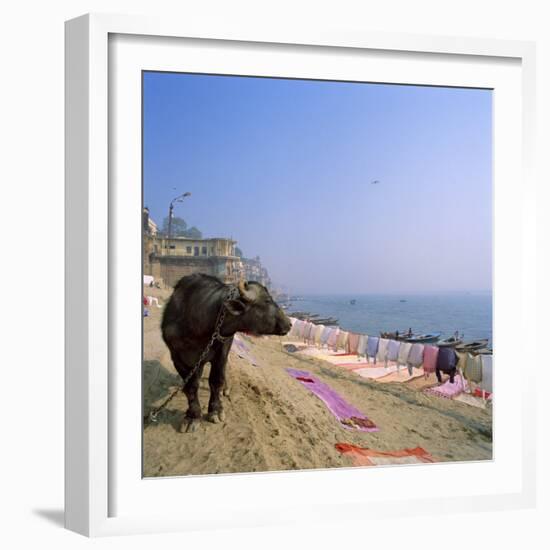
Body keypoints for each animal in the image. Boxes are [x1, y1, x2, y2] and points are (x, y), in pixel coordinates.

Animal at [161, 274, 294, 434]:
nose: (289, 323)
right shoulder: (177, 359)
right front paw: (192, 416)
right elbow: (191, 386)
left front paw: (215, 410)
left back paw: (225, 389)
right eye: (267, 301)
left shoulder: (222, 352)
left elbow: (216, 380)